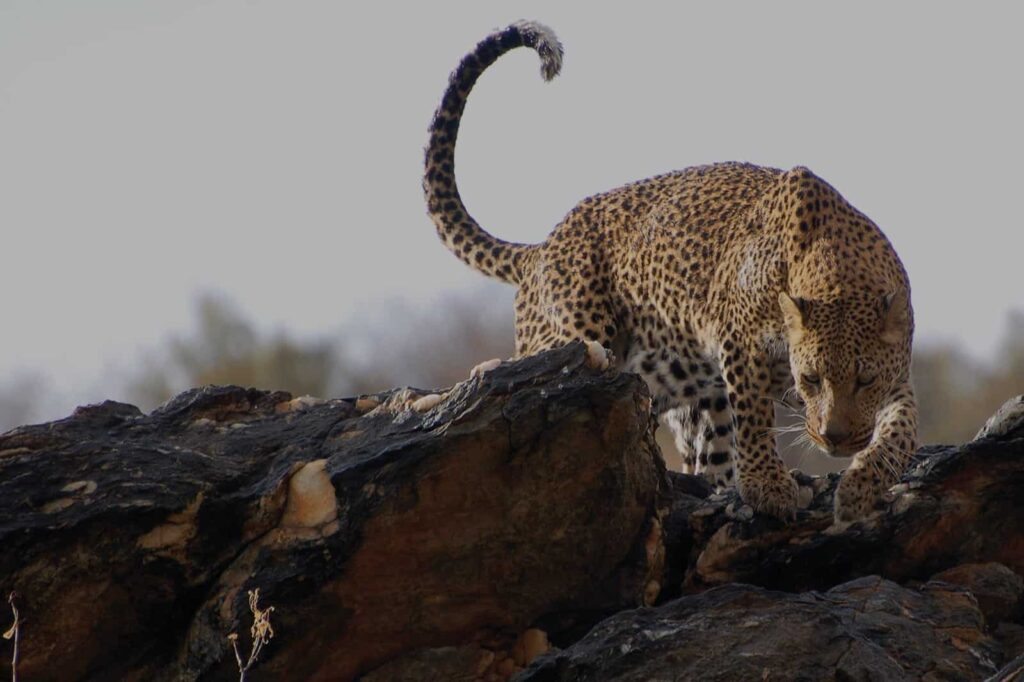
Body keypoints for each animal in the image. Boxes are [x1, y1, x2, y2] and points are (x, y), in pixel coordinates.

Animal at [422, 20, 918, 522]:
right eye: (812, 379)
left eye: (865, 380)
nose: (833, 438)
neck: (835, 268)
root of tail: (542, 248)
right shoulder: (739, 342)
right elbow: (754, 418)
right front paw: (768, 487)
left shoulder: (896, 373)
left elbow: (904, 428)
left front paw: (860, 487)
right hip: (580, 336)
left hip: (683, 388)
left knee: (707, 456)